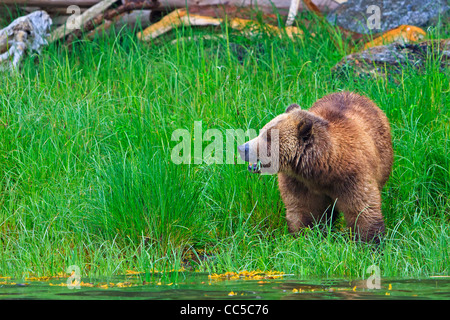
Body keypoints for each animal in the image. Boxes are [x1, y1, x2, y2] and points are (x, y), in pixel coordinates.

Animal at [237, 91, 392, 241]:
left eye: (268, 138)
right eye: (262, 131)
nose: (242, 148)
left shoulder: (352, 177)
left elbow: (362, 209)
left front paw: (369, 240)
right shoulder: (299, 182)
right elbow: (303, 210)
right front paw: (304, 237)